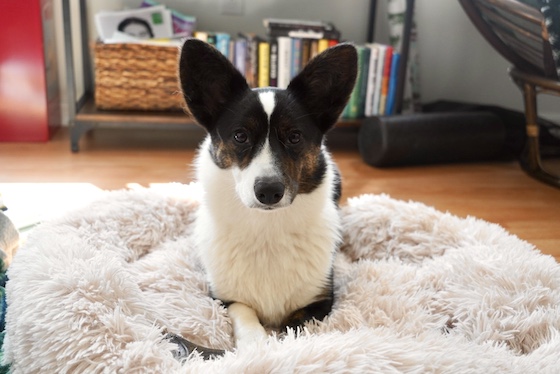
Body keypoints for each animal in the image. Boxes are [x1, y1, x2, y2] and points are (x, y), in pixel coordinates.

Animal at [173, 38, 358, 356]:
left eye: (295, 137)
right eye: (240, 136)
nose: (269, 191)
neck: (266, 229)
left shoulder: (319, 301)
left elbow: (292, 328)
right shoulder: (223, 296)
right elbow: (244, 312)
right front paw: (256, 344)